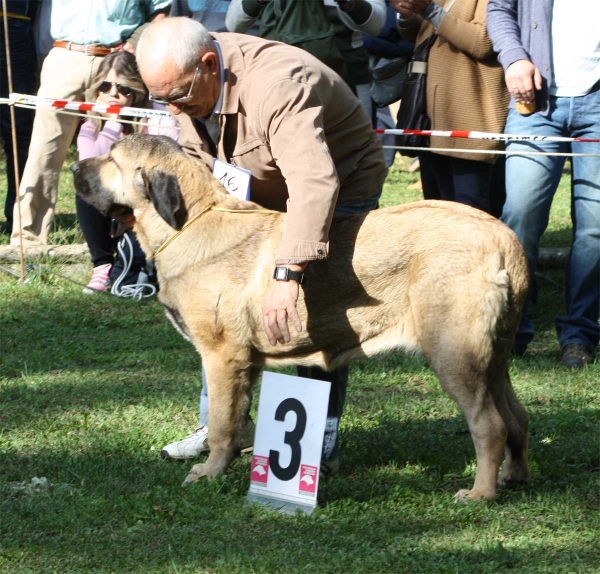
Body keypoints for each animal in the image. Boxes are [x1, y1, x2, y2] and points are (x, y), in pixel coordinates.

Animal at [74, 134, 528, 500]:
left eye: (112, 158)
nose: (77, 166)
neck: (190, 223)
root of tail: (504, 239)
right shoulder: (244, 364)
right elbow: (236, 419)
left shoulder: (221, 357)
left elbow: (221, 425)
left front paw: (209, 473)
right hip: (493, 361)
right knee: (515, 417)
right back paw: (513, 476)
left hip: (454, 355)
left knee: (489, 425)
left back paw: (480, 493)